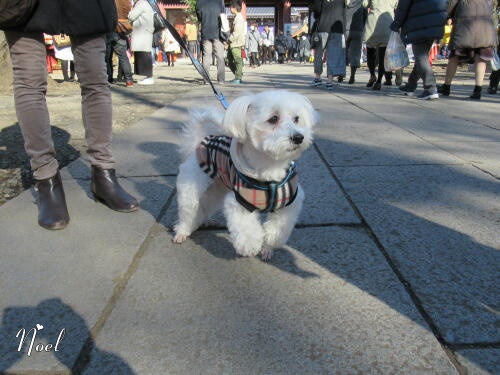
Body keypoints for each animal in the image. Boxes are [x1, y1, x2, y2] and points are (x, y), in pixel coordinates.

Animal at [174, 91, 318, 262]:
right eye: (273, 119)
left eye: (296, 119)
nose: (298, 137)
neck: (270, 171)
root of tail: (202, 141)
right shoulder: (240, 202)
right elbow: (246, 229)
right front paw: (250, 247)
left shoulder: (290, 202)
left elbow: (278, 228)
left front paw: (269, 245)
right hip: (191, 187)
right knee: (188, 210)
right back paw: (182, 231)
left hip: (216, 189)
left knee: (205, 205)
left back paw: (204, 221)